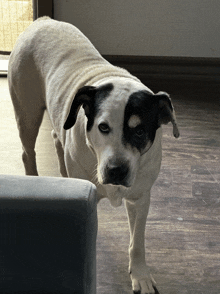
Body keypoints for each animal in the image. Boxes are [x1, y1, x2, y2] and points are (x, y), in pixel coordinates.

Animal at [8, 17, 179, 292]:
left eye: (140, 131)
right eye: (103, 127)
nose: (116, 170)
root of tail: (43, 21)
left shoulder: (140, 198)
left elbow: (138, 242)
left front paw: (140, 274)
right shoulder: (91, 198)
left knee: (57, 137)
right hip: (27, 113)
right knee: (27, 151)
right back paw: (34, 177)